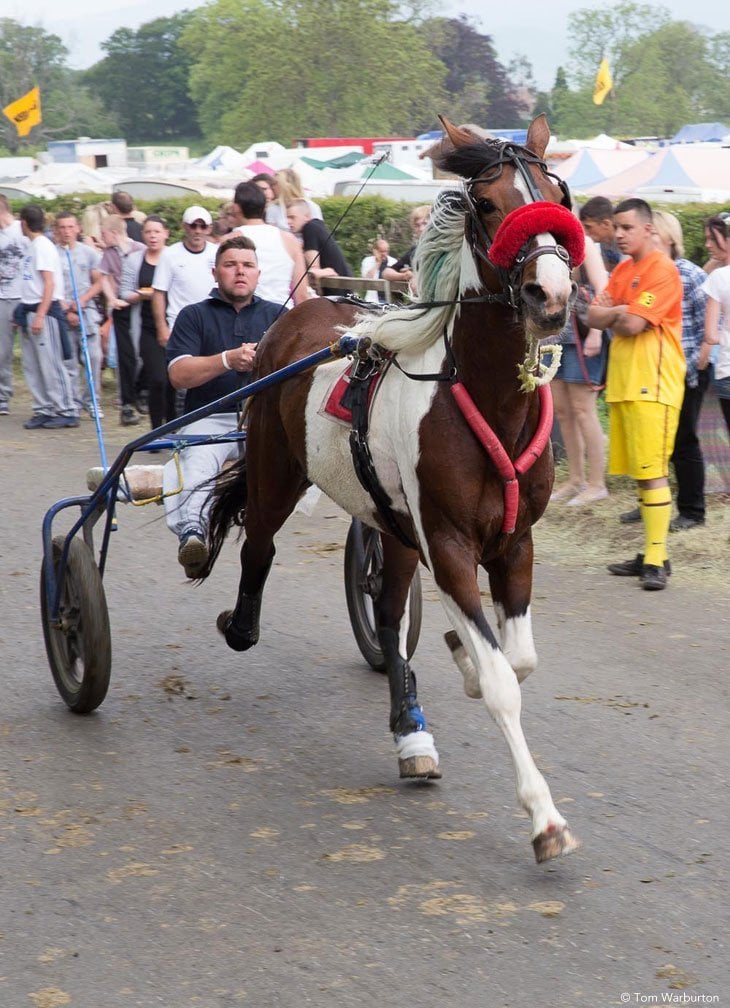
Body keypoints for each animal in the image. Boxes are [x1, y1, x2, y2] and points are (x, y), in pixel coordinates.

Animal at [200, 115, 588, 858]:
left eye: (559, 194)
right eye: (487, 203)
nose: (550, 296)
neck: (487, 400)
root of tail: (302, 311)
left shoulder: (514, 542)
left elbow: (518, 659)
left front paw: (461, 656)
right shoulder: (449, 542)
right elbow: (503, 681)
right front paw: (545, 817)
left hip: (393, 522)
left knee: (385, 605)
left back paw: (413, 732)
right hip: (276, 471)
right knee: (258, 544)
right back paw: (239, 623)